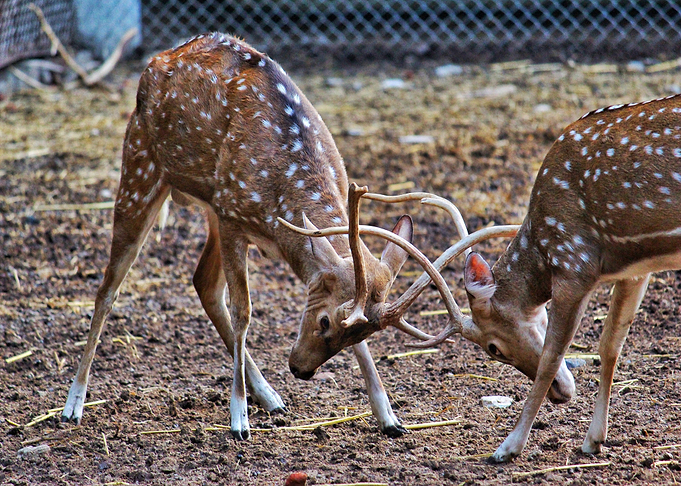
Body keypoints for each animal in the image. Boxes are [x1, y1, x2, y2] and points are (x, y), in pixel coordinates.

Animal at [60, 32, 469, 441]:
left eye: (355, 336)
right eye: (324, 321)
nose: (301, 370)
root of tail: (153, 63)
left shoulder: (234, 217)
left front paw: (389, 416)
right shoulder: (233, 217)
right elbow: (244, 311)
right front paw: (238, 419)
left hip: (208, 205)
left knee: (202, 283)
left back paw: (270, 396)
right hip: (141, 169)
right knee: (108, 289)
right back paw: (73, 404)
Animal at [407, 93, 681, 462]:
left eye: (493, 348)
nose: (560, 395)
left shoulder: (573, 263)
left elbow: (551, 357)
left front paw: (507, 447)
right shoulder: (634, 269)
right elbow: (610, 345)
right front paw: (594, 440)